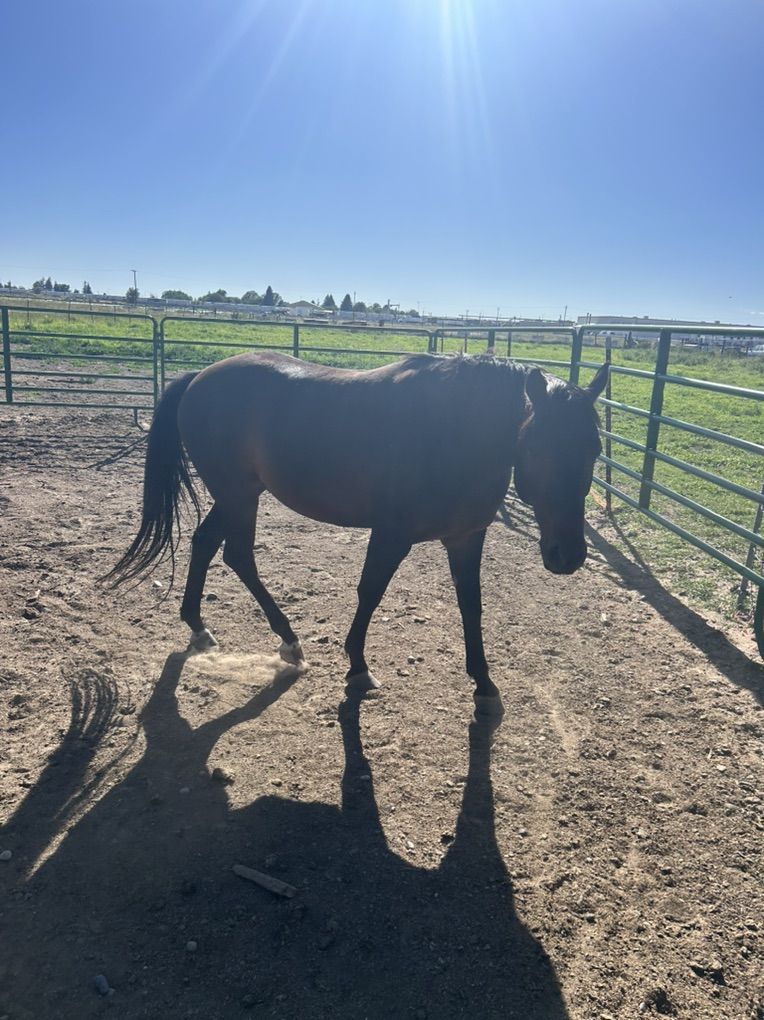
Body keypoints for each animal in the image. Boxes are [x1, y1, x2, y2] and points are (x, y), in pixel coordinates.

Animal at [108, 351, 607, 715]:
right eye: (537, 447)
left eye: (594, 448)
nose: (567, 555)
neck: (451, 432)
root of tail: (199, 377)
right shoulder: (391, 534)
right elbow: (370, 592)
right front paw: (358, 669)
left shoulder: (467, 537)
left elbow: (472, 606)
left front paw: (484, 684)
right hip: (237, 494)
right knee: (238, 554)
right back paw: (288, 640)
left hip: (239, 493)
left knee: (207, 544)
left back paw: (200, 627)